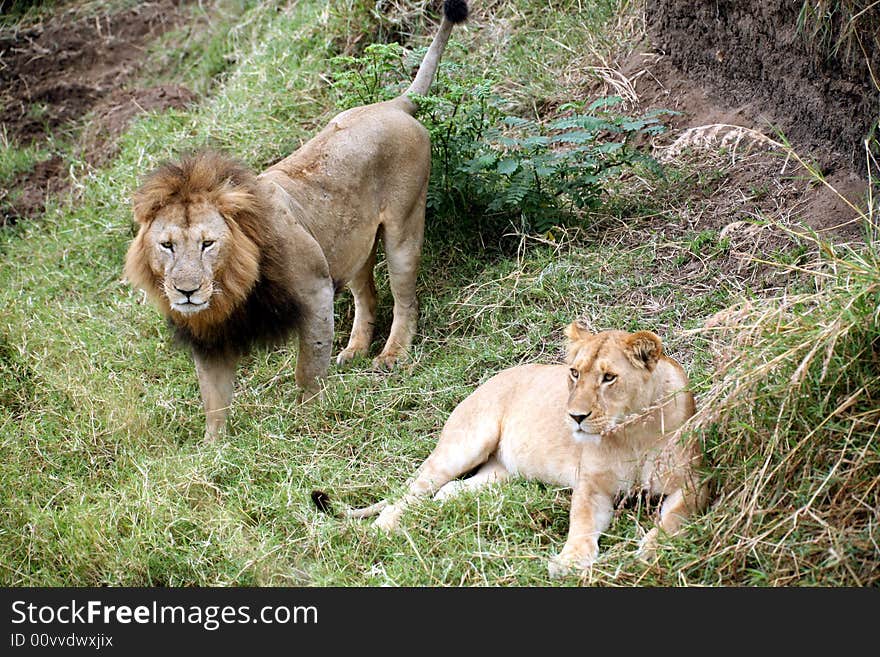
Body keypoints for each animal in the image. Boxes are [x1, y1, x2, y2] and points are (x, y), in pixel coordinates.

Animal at [123, 1, 470, 440]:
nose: (186, 292)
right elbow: (213, 400)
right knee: (367, 295)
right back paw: (355, 350)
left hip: (404, 227)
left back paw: (392, 356)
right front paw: (213, 448)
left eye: (208, 244)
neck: (230, 288)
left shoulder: (314, 292)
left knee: (406, 299)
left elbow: (308, 369)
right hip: (350, 244)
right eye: (167, 245)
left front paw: (308, 420)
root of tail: (392, 105)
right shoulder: (210, 334)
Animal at [316, 322, 708, 576]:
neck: (631, 431)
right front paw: (569, 562)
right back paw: (380, 530)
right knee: (411, 492)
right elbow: (581, 524)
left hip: (500, 473)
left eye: (609, 377)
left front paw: (652, 551)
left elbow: (673, 521)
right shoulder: (591, 487)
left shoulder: (693, 486)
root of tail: (491, 378)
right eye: (574, 373)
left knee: (448, 491)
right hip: (466, 443)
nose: (575, 416)